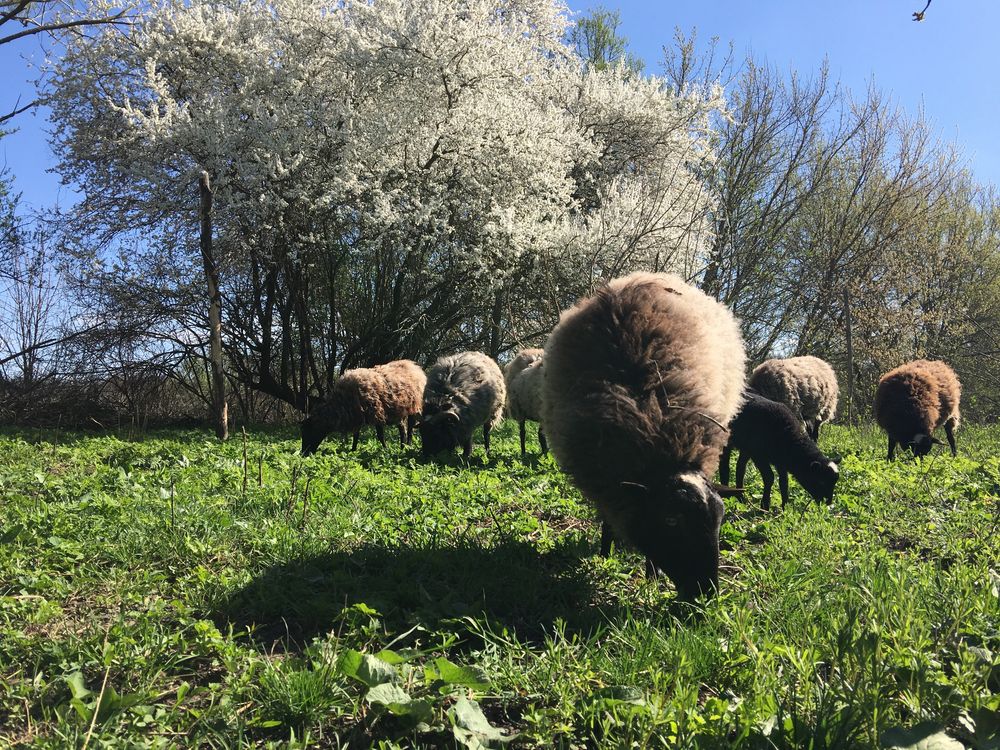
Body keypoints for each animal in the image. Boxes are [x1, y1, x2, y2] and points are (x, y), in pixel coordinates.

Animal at [544, 270, 748, 600]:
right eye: (671, 519)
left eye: (720, 518)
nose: (705, 595)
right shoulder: (606, 480)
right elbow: (607, 519)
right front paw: (605, 556)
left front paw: (651, 577)